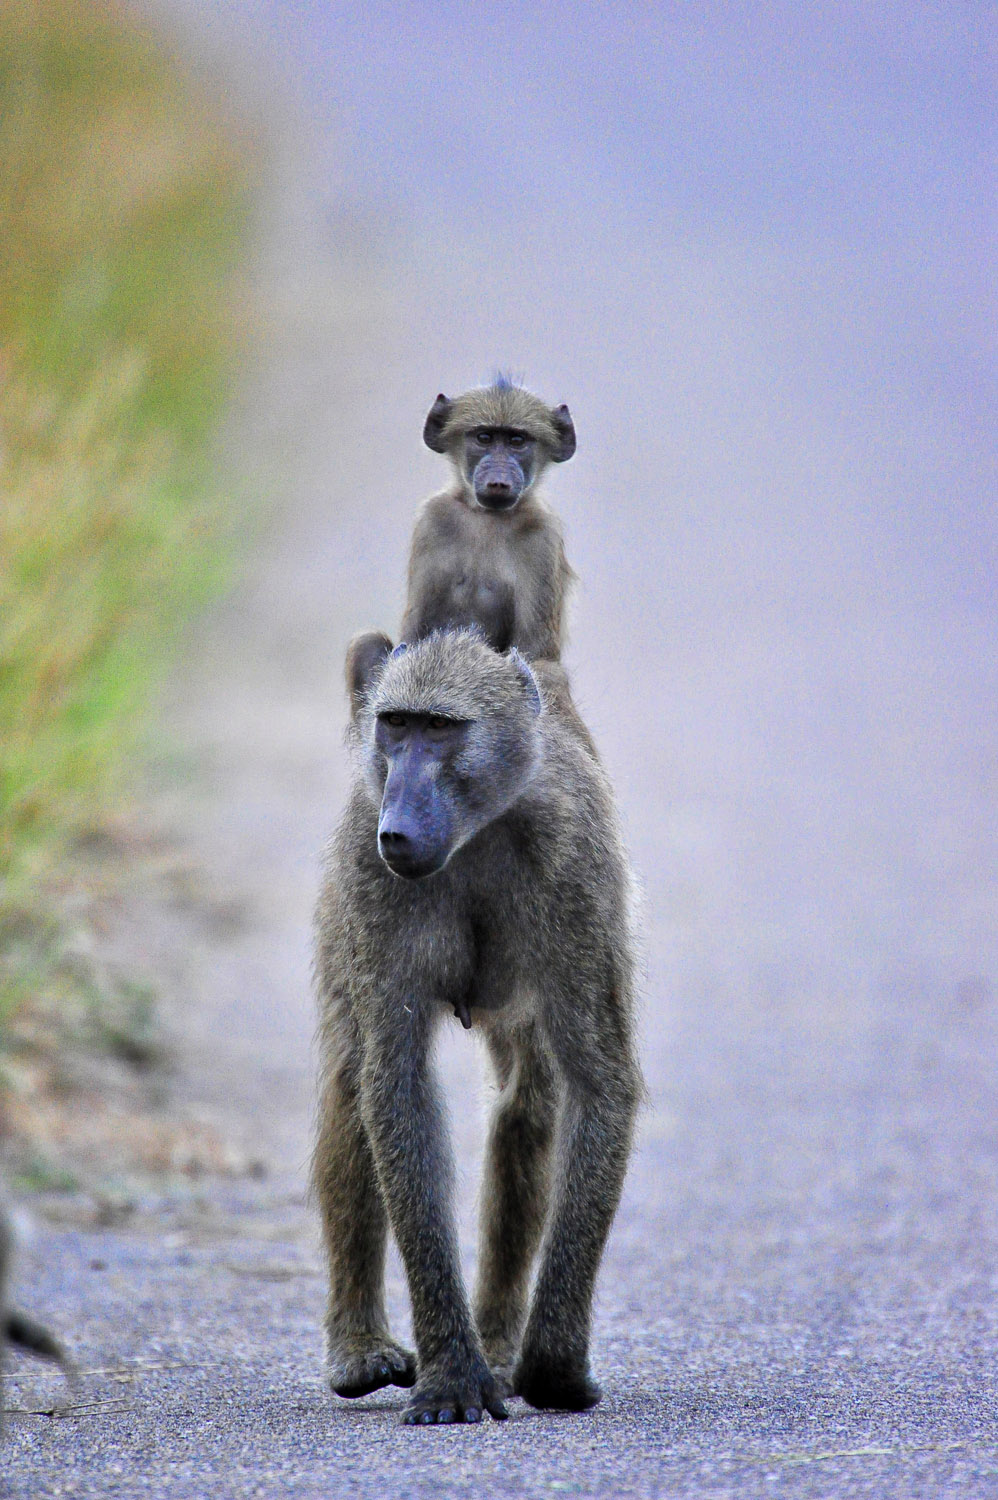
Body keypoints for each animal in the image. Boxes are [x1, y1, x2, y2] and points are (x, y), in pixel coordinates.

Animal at [312, 629, 641, 1425]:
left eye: (440, 730)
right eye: (396, 726)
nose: (397, 828)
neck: (479, 834)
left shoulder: (578, 871)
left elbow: (598, 1086)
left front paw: (550, 1369)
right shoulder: (367, 876)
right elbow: (396, 1086)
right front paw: (453, 1376)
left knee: (530, 1102)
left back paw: (498, 1342)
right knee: (351, 1084)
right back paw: (361, 1350)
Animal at [400, 378, 577, 661]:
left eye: (517, 440)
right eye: (484, 438)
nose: (498, 480)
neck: (487, 517)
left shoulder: (543, 536)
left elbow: (536, 653)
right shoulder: (434, 517)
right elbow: (413, 634)